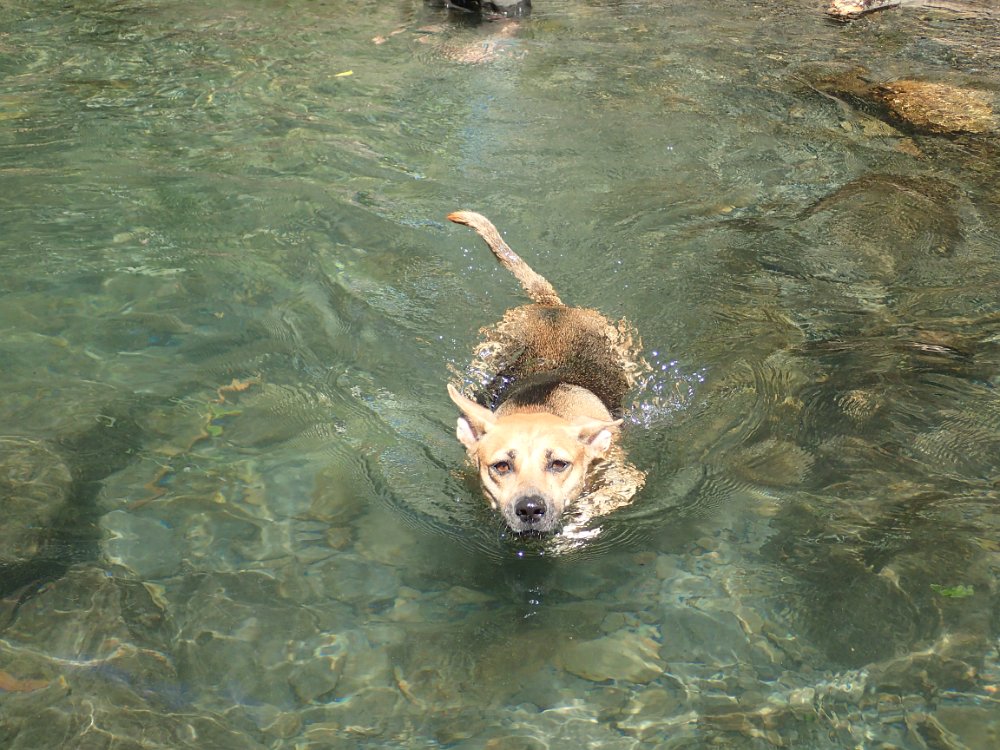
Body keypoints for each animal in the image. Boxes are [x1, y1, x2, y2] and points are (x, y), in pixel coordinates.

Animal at [446, 211, 646, 537]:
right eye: (501, 466)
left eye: (559, 464)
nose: (529, 509)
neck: (541, 407)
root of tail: (552, 307)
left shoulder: (624, 481)